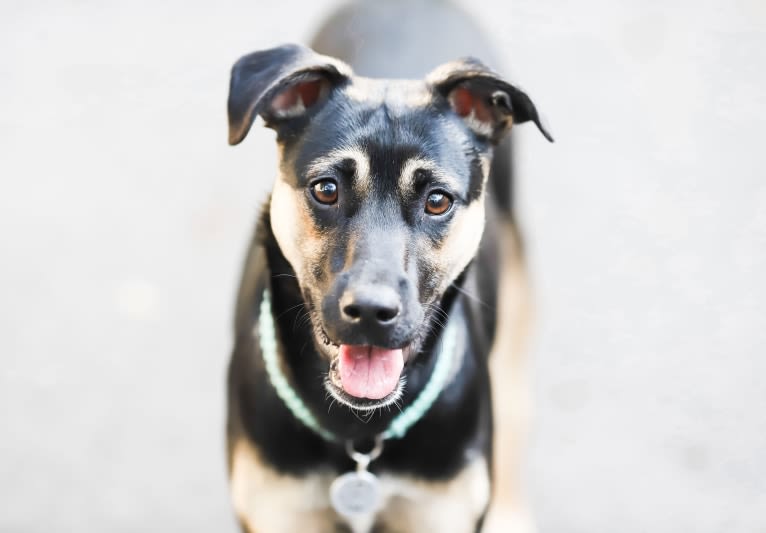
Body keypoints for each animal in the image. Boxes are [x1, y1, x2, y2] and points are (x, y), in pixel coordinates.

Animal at [225, 5, 556, 532]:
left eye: (437, 200)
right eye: (326, 189)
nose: (370, 313)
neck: (360, 434)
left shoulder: (439, 511)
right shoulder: (281, 509)